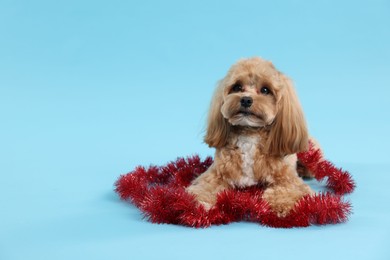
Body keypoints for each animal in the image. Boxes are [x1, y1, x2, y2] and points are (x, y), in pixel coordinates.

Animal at [185, 57, 314, 217]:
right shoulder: (215, 175)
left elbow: (287, 191)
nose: (246, 100)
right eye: (237, 87)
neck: (250, 133)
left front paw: (283, 205)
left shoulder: (289, 180)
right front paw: (199, 201)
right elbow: (205, 187)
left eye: (265, 90)